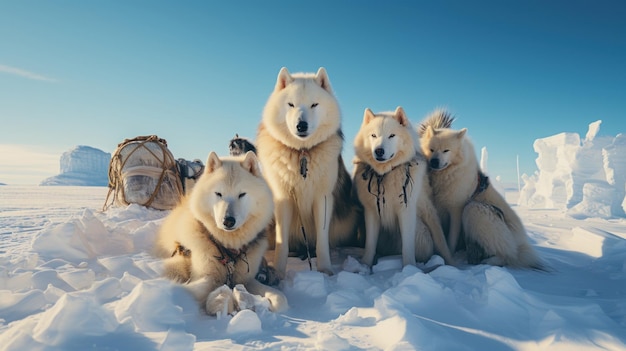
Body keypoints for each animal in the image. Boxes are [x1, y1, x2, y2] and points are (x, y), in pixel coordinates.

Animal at [154, 151, 288, 316]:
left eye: (242, 194)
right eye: (218, 194)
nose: (228, 221)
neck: (229, 249)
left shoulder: (246, 279)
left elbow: (280, 299)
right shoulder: (206, 277)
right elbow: (187, 292)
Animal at [256, 67, 358, 278]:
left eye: (314, 104)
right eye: (291, 104)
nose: (301, 125)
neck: (302, 152)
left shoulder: (323, 198)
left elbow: (322, 240)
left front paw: (325, 269)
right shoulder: (283, 198)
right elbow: (282, 242)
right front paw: (278, 271)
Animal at [354, 106, 450, 268]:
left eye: (392, 136)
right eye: (373, 135)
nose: (379, 151)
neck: (386, 174)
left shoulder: (406, 211)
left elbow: (407, 246)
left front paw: (409, 268)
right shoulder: (371, 212)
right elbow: (370, 244)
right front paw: (365, 265)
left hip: (423, 234)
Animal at [420, 111, 540, 270]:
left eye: (446, 150)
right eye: (431, 149)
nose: (434, 161)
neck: (444, 176)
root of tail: (521, 244)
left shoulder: (456, 210)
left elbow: (450, 240)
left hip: (475, 211)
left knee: (508, 256)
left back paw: (489, 262)